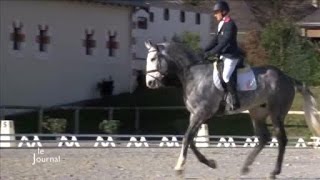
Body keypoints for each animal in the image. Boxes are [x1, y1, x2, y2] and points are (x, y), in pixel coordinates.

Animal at [144, 40, 320, 179]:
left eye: (153, 59)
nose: (149, 83)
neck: (194, 74)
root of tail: (287, 78)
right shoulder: (196, 115)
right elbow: (191, 140)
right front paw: (210, 163)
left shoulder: (201, 113)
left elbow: (187, 138)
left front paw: (179, 167)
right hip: (257, 113)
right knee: (264, 138)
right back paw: (245, 167)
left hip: (276, 113)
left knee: (281, 139)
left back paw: (274, 172)